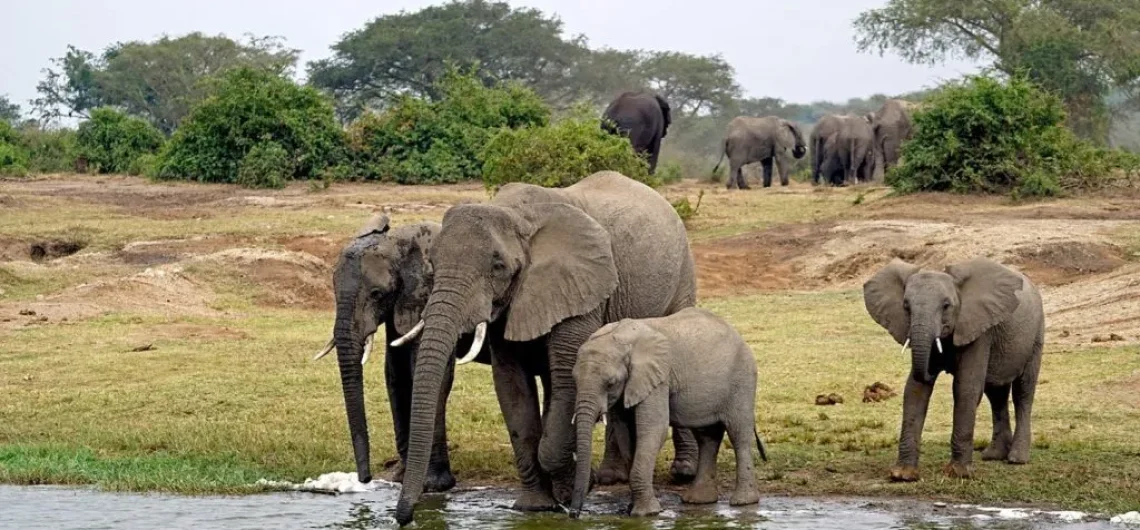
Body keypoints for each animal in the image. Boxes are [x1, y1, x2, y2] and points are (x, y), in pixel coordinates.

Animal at [312, 214, 490, 492]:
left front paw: (432, 485)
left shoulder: (427, 295)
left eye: (377, 294)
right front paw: (400, 478)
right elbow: (395, 373)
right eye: (333, 290)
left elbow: (425, 374)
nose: (365, 478)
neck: (399, 242)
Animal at [389, 170, 693, 524]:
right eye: (433, 265)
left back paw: (680, 472)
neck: (515, 214)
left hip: (682, 273)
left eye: (498, 267)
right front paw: (536, 506)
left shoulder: (580, 287)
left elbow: (567, 379)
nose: (405, 517)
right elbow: (513, 388)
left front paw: (575, 486)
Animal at [567, 305, 766, 517]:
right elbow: (626, 434)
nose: (573, 513)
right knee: (707, 436)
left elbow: (654, 429)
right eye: (575, 380)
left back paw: (743, 502)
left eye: (610, 383)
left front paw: (646, 514)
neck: (621, 339)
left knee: (738, 434)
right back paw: (698, 500)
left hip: (742, 378)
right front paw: (631, 509)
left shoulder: (659, 378)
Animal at [861, 258, 1044, 480]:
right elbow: (915, 390)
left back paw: (1017, 458)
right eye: (906, 306)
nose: (935, 368)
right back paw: (993, 455)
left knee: (1023, 391)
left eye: (946, 306)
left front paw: (958, 473)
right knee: (996, 394)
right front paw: (902, 475)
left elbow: (965, 388)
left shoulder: (979, 331)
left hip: (1036, 335)